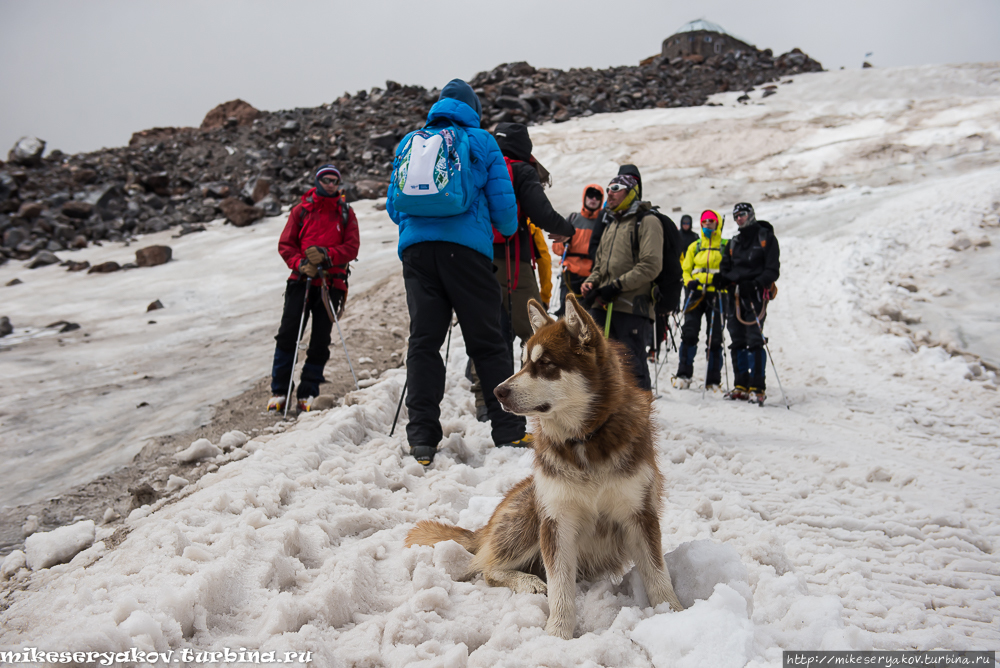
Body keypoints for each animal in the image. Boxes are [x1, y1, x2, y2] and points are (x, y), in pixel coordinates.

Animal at [404, 294, 680, 640]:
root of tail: (486, 527)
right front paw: (557, 636)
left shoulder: (640, 513)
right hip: (530, 511)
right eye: (522, 362)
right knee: (487, 568)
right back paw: (528, 581)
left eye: (545, 363)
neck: (584, 440)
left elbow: (658, 575)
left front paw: (672, 613)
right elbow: (560, 587)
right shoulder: (556, 519)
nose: (498, 391)